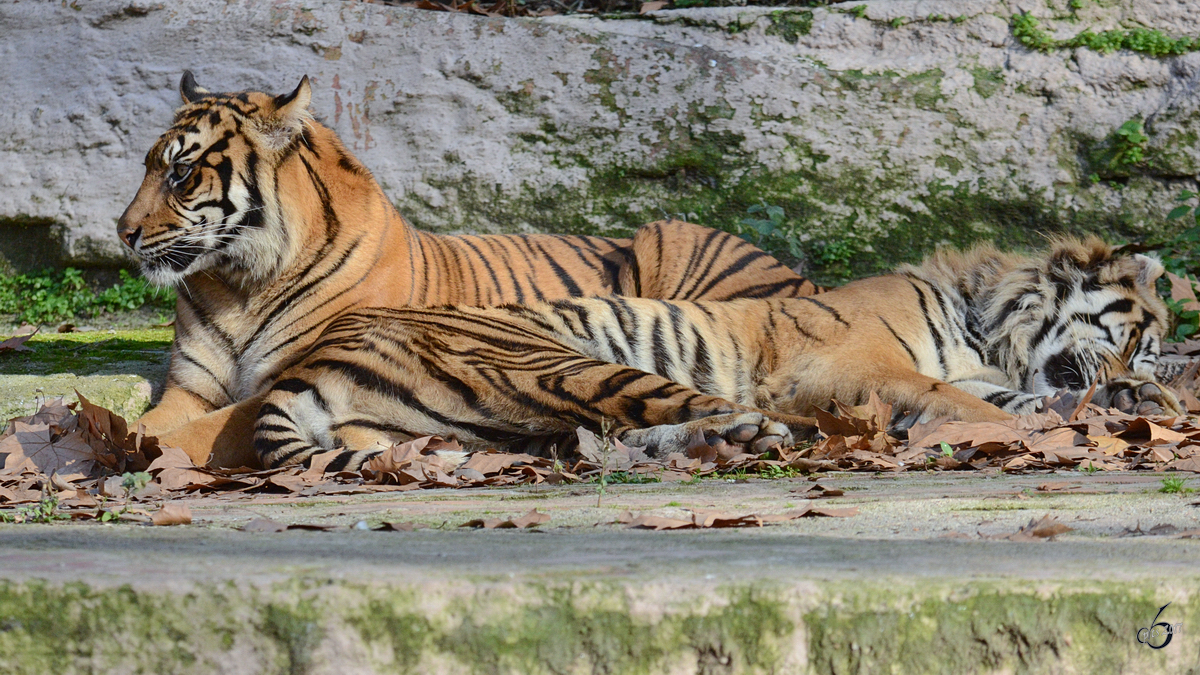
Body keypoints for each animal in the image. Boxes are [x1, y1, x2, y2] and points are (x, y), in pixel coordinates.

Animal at [117, 70, 820, 466]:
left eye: (181, 172)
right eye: (150, 166)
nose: (122, 234)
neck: (240, 280)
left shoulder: (272, 385)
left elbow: (187, 435)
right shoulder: (191, 387)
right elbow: (146, 423)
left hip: (664, 236)